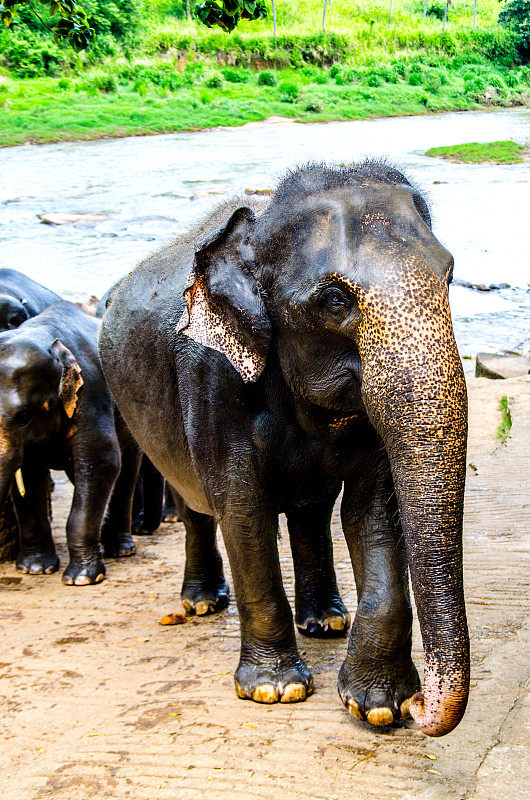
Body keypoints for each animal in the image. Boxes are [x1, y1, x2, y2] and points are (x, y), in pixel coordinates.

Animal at [0, 298, 138, 580]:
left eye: (24, 416)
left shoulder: (91, 390)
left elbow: (103, 461)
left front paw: (82, 578)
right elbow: (26, 478)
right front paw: (35, 569)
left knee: (125, 471)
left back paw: (121, 550)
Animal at [99, 161, 466, 736]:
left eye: (449, 276)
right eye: (334, 301)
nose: (423, 707)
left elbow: (372, 513)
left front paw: (381, 705)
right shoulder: (212, 377)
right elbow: (242, 509)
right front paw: (276, 690)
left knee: (310, 512)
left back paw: (326, 622)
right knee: (194, 502)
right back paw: (202, 604)